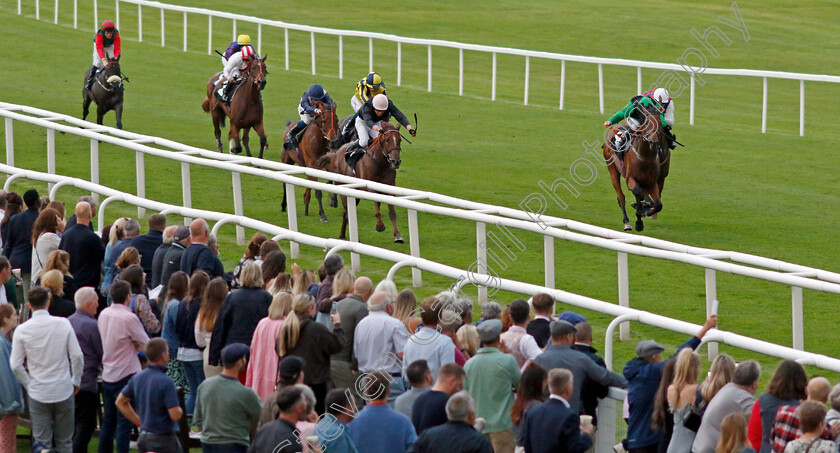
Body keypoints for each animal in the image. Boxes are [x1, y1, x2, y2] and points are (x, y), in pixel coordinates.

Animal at [600, 103, 672, 231]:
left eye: (660, 123)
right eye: (647, 123)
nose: (654, 142)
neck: (645, 156)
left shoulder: (653, 182)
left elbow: (658, 204)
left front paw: (646, 211)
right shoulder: (631, 180)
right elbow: (639, 193)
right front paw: (640, 218)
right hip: (612, 169)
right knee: (621, 197)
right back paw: (627, 222)